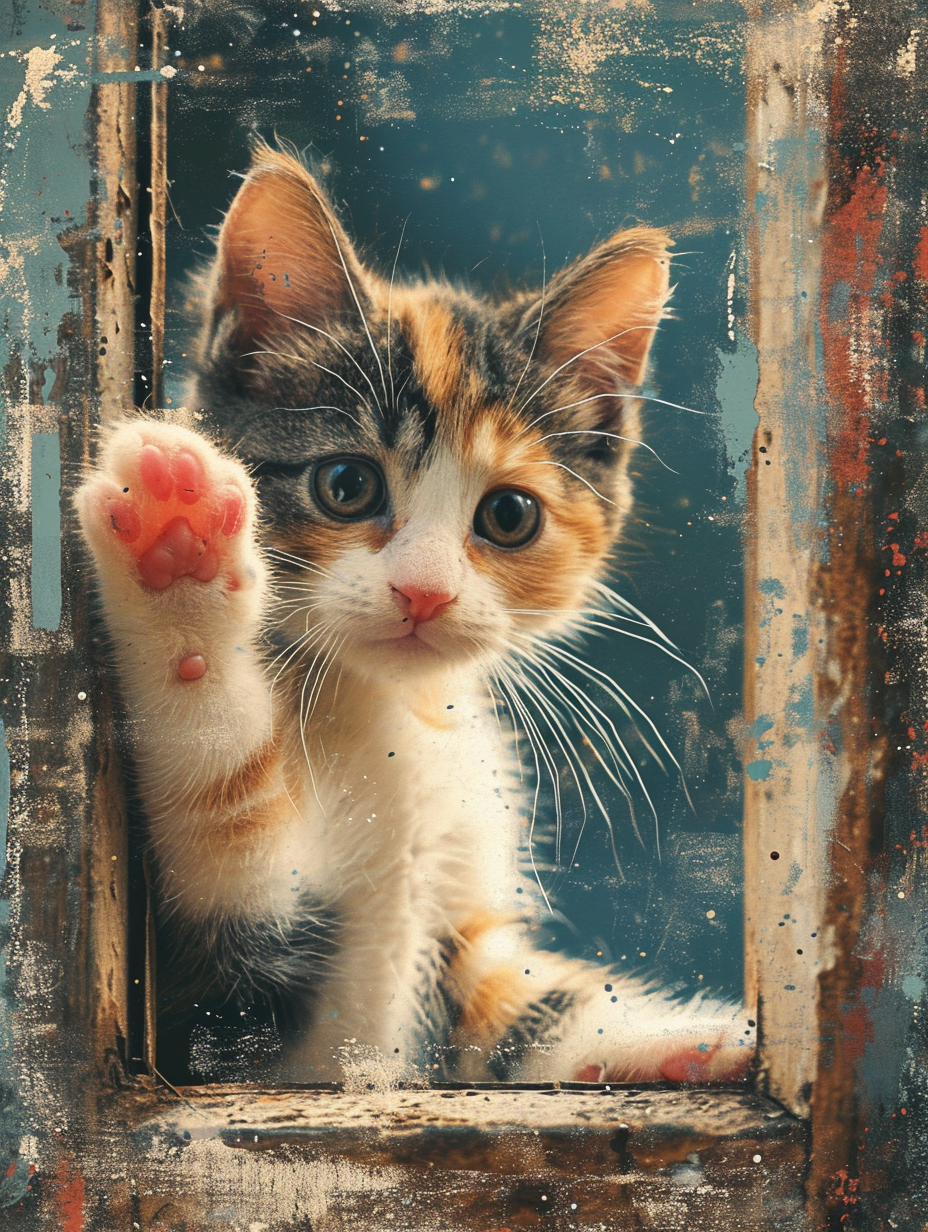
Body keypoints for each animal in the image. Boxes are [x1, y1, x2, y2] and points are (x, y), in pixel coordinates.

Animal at [76, 144, 749, 1084]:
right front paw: (178, 564)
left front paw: (704, 1043)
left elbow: (532, 1022)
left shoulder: (458, 929)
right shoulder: (220, 1007)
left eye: (510, 515)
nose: (424, 592)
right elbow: (224, 819)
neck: (392, 712)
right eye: (346, 484)